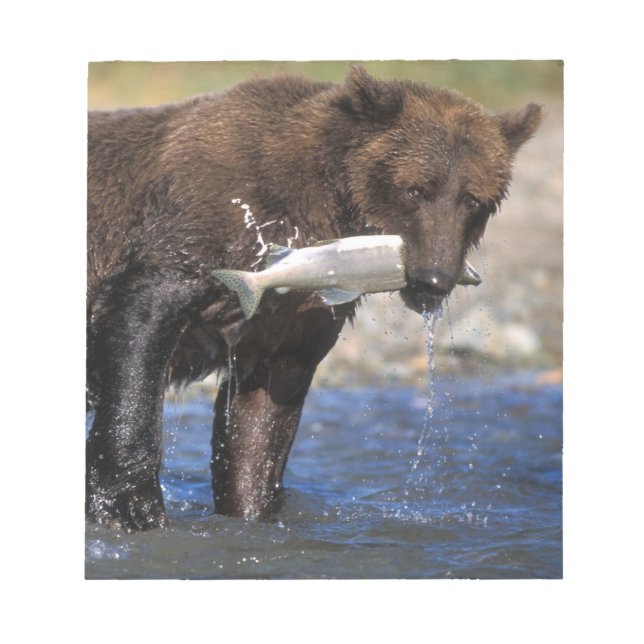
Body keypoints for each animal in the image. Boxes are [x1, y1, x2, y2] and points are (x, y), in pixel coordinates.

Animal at [87, 65, 542, 531]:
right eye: (417, 190)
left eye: (473, 199)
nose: (434, 278)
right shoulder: (200, 228)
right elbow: (140, 328)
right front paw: (132, 509)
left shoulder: (293, 320)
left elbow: (260, 424)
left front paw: (251, 508)